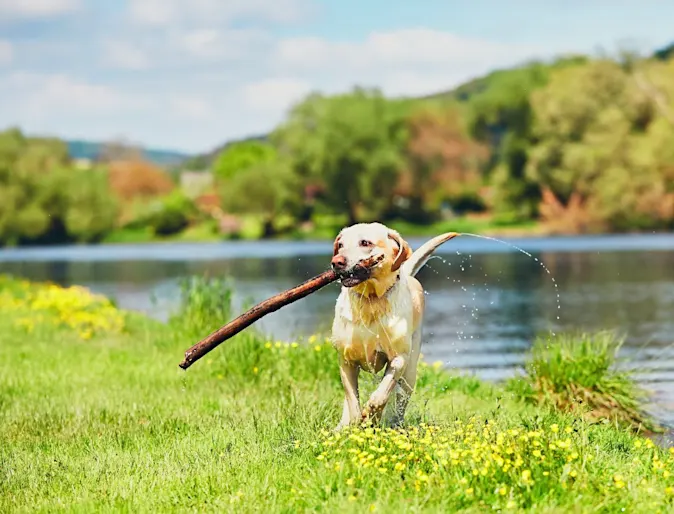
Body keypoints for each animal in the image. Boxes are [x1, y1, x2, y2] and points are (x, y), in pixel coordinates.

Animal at [326, 221, 454, 428]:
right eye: (340, 245)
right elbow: (352, 399)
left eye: (365, 242)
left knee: (401, 400)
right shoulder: (346, 361)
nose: (336, 262)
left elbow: (382, 394)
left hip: (410, 372)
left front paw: (371, 414)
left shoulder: (399, 359)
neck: (371, 300)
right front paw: (355, 422)